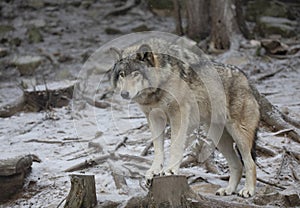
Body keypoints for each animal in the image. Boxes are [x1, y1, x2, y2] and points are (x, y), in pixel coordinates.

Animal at [110, 43, 260, 197]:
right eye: (122, 74)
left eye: (136, 74)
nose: (124, 94)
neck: (160, 86)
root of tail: (247, 80)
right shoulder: (154, 119)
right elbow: (158, 149)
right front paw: (154, 172)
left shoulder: (178, 115)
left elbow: (175, 146)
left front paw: (170, 170)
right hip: (218, 137)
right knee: (237, 165)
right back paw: (228, 190)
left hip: (238, 135)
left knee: (250, 163)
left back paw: (248, 190)